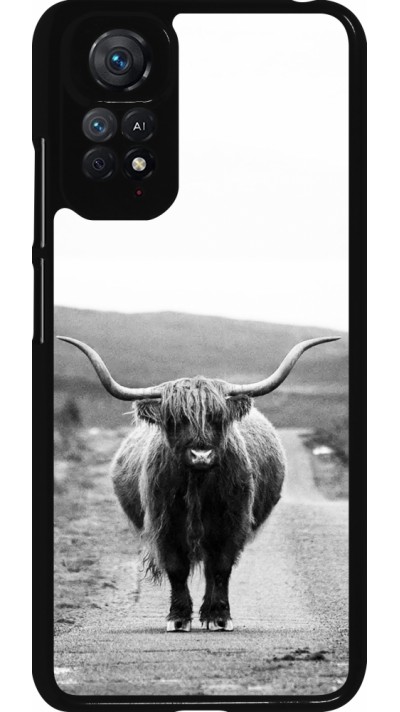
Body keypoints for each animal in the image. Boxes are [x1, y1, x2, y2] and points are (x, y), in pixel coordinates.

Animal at [58, 335, 338, 632]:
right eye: (175, 419)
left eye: (218, 418)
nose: (201, 455)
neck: (198, 485)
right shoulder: (164, 524)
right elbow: (177, 569)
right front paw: (178, 617)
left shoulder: (232, 523)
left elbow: (221, 568)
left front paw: (219, 616)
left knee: (210, 568)